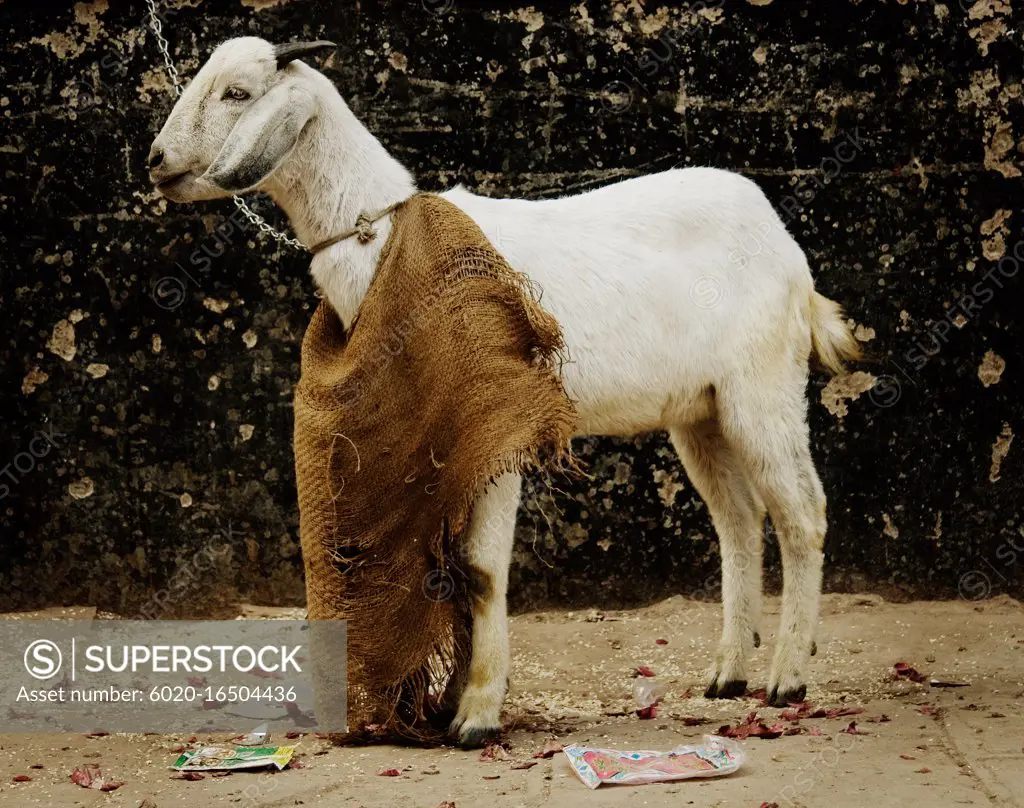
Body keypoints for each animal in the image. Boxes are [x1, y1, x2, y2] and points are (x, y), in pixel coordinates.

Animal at [148, 36, 860, 745]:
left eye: (237, 93)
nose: (156, 162)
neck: (381, 234)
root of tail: (790, 255)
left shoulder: (499, 427)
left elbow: (483, 570)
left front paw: (478, 714)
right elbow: (459, 572)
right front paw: (456, 699)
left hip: (763, 385)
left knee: (803, 514)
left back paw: (787, 678)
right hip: (700, 410)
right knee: (739, 520)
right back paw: (727, 674)